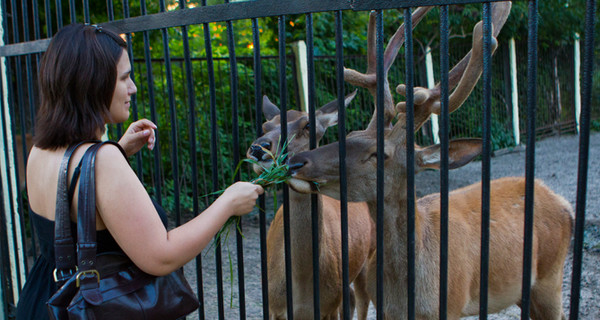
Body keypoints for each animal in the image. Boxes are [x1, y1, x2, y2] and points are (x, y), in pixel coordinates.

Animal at [246, 94, 372, 318]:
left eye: (308, 125)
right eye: (265, 125)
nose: (258, 148)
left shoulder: (329, 307)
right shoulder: (271, 306)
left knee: (362, 301)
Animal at [288, 3, 576, 320]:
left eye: (379, 154)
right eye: (351, 133)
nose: (297, 161)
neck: (406, 295)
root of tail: (562, 201)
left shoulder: (451, 305)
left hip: (551, 277)